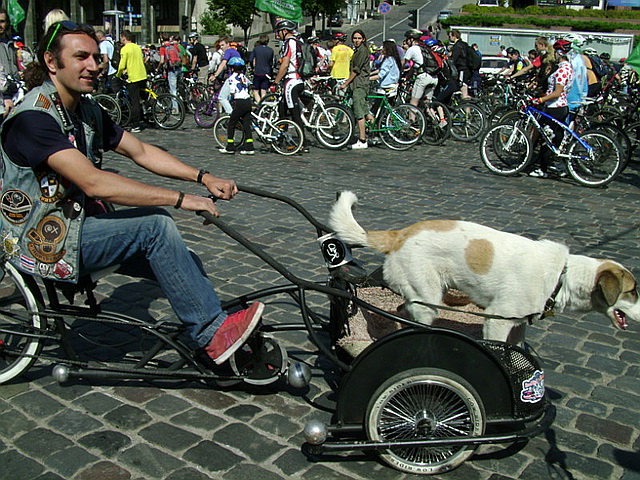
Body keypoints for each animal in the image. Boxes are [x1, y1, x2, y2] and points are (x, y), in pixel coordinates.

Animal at [330, 191, 640, 344]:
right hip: (428, 298)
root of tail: (400, 234)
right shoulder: (497, 319)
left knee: (401, 310)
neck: (561, 276)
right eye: (633, 291)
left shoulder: (516, 325)